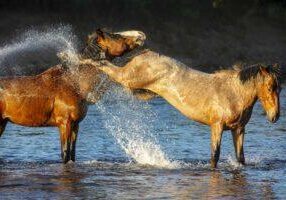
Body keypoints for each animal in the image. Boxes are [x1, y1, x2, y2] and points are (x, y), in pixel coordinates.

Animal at [0, 28, 146, 163]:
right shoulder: (65, 124)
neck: (74, 82)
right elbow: (65, 153)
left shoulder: (75, 125)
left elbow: (72, 153)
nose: (141, 34)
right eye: (115, 36)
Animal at [80, 50, 282, 167]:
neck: (233, 93)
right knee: (104, 65)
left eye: (280, 88)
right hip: (128, 78)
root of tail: (146, 53)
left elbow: (241, 158)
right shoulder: (216, 127)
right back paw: (81, 60)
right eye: (270, 87)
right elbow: (214, 156)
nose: (275, 116)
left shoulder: (238, 129)